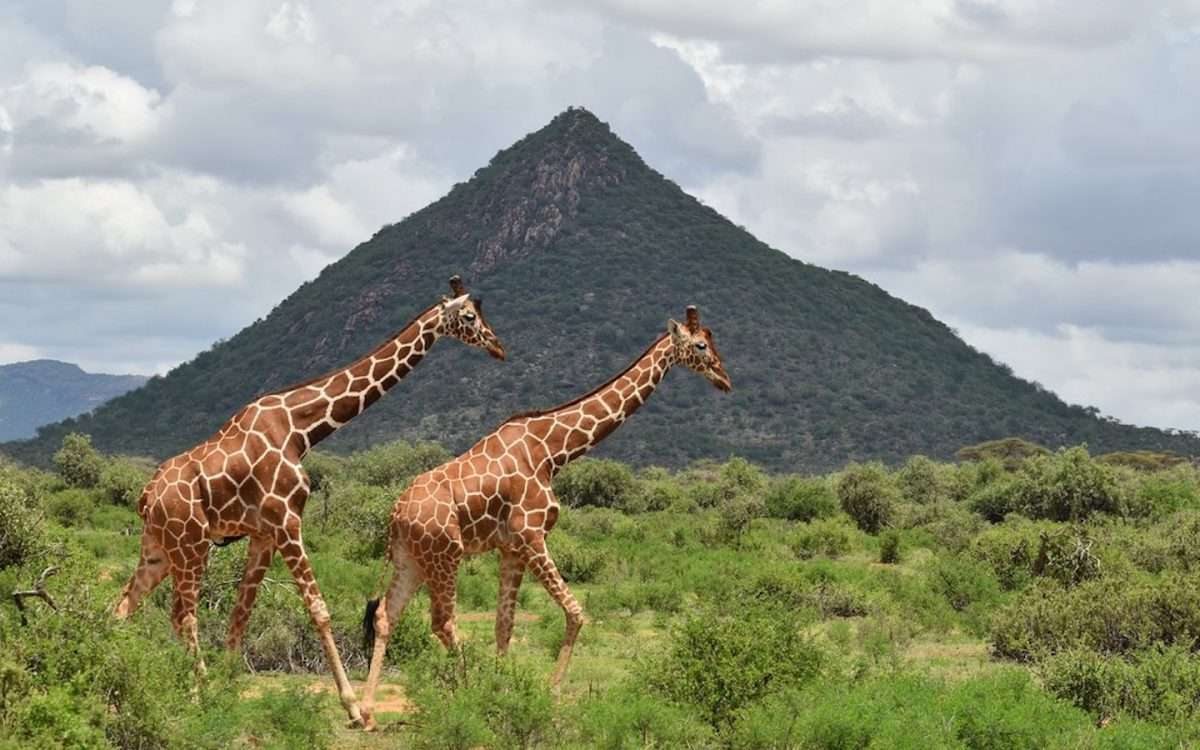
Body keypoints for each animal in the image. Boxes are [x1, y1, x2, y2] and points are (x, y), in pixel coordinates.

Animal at [113, 274, 506, 724]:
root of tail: (146, 495)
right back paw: (198, 691)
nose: (498, 347)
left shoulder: (264, 533)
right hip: (190, 545)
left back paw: (115, 684)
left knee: (123, 606)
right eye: (469, 316)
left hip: (157, 548)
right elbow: (318, 607)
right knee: (182, 614)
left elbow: (241, 613)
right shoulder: (287, 520)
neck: (302, 430)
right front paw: (352, 706)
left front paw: (230, 686)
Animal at [355, 302, 729, 724]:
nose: (724, 379)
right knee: (443, 621)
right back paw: (466, 694)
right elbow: (576, 612)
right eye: (700, 345)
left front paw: (503, 690)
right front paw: (547, 694)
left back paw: (366, 712)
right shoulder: (531, 535)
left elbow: (504, 624)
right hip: (445, 555)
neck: (553, 451)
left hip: (411, 559)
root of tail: (396, 514)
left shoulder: (511, 548)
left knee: (387, 616)